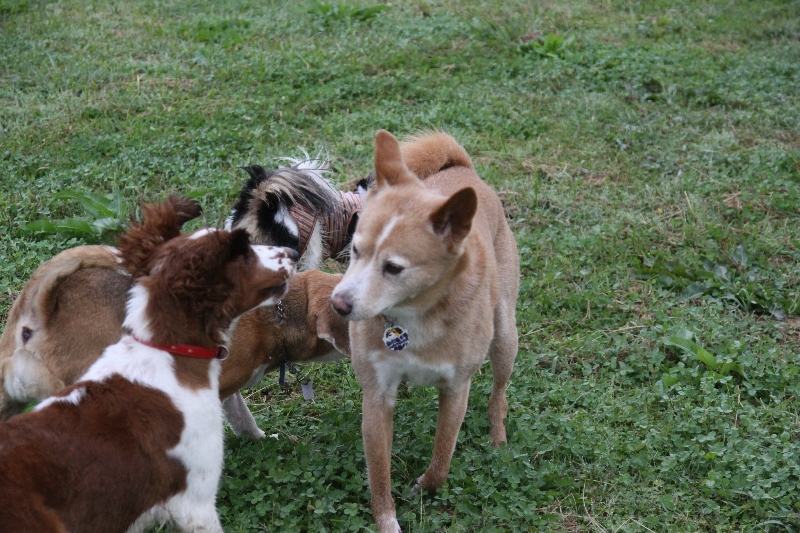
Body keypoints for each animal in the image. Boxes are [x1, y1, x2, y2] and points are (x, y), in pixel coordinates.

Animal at [0, 195, 298, 533]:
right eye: (244, 252)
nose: (293, 253)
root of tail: (40, 313)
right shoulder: (195, 504)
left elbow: (241, 414)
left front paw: (259, 438)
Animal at [330, 131, 520, 533]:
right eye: (355, 250)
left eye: (394, 268)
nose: (338, 304)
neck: (414, 316)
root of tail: (463, 169)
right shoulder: (377, 397)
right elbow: (379, 475)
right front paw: (387, 520)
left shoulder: (456, 389)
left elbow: (442, 461)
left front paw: (422, 488)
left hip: (504, 336)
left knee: (499, 394)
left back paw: (498, 439)